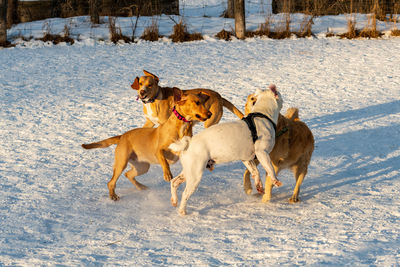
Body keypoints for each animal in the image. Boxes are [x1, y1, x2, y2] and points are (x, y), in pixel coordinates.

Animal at [81, 89, 212, 202]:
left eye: (203, 102)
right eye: (197, 102)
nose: (210, 114)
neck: (182, 126)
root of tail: (122, 136)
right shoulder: (159, 150)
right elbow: (164, 161)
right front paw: (167, 174)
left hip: (142, 166)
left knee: (128, 174)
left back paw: (141, 187)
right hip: (121, 162)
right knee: (111, 182)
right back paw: (113, 196)